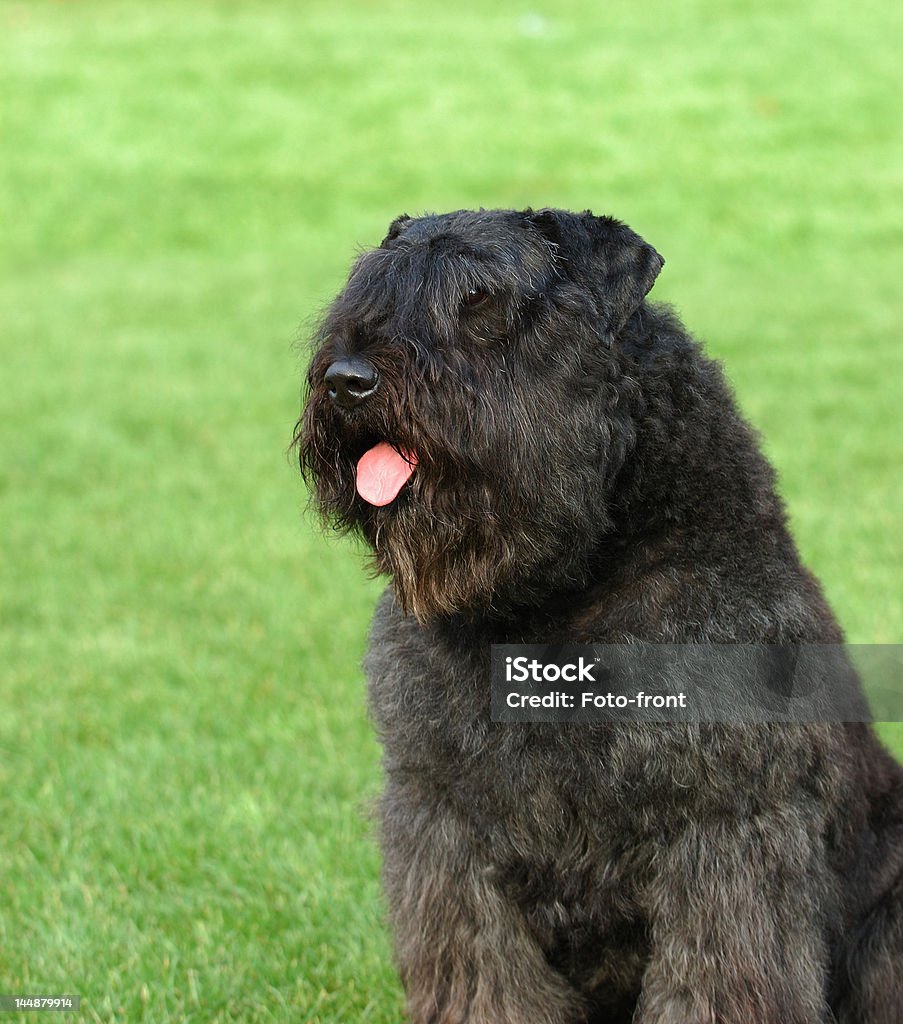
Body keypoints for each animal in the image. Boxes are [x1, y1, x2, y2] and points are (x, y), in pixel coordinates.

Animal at [294, 209, 900, 1024]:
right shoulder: (443, 824)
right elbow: (485, 978)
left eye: (480, 299)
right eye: (366, 286)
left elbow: (715, 983)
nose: (347, 380)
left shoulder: (726, 832)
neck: (556, 599)